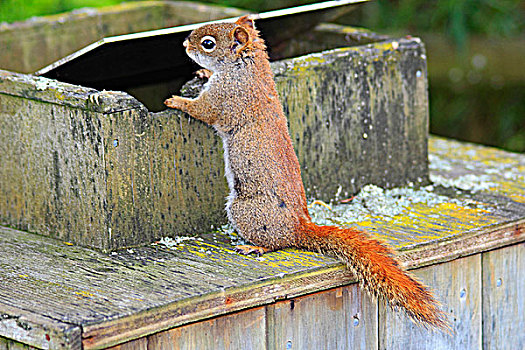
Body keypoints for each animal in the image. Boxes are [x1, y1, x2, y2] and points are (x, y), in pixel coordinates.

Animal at [164, 15, 446, 330]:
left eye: (208, 43)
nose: (184, 43)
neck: (247, 67)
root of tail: (298, 227)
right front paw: (202, 72)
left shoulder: (226, 96)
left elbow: (203, 110)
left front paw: (176, 101)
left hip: (244, 211)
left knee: (277, 243)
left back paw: (255, 248)